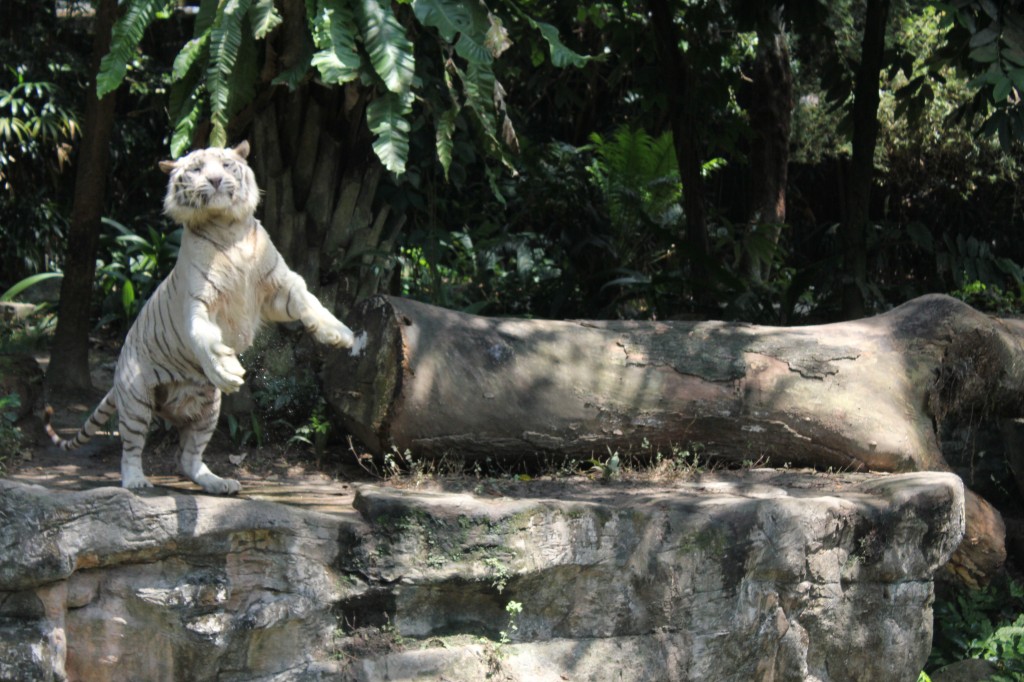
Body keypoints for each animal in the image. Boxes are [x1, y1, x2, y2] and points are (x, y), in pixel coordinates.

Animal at [45, 142, 356, 493]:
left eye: (226, 165)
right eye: (196, 169)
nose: (216, 180)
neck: (229, 228)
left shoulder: (278, 286)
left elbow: (309, 300)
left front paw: (340, 333)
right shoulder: (199, 302)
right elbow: (203, 336)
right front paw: (225, 366)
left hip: (209, 409)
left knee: (188, 458)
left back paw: (219, 483)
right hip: (137, 400)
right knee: (131, 449)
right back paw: (136, 480)